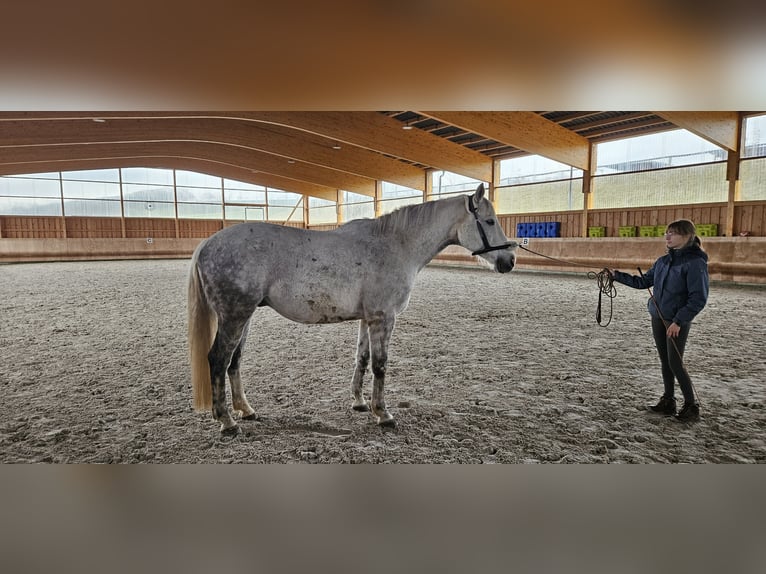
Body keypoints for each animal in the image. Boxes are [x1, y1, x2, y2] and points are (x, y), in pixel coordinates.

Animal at [189, 186, 520, 436]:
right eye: (490, 221)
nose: (510, 261)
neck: (395, 244)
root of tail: (206, 245)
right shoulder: (384, 318)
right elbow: (380, 365)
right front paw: (382, 414)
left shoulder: (367, 319)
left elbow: (361, 359)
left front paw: (360, 403)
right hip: (235, 317)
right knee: (218, 359)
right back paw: (227, 422)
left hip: (243, 317)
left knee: (234, 361)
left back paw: (245, 410)